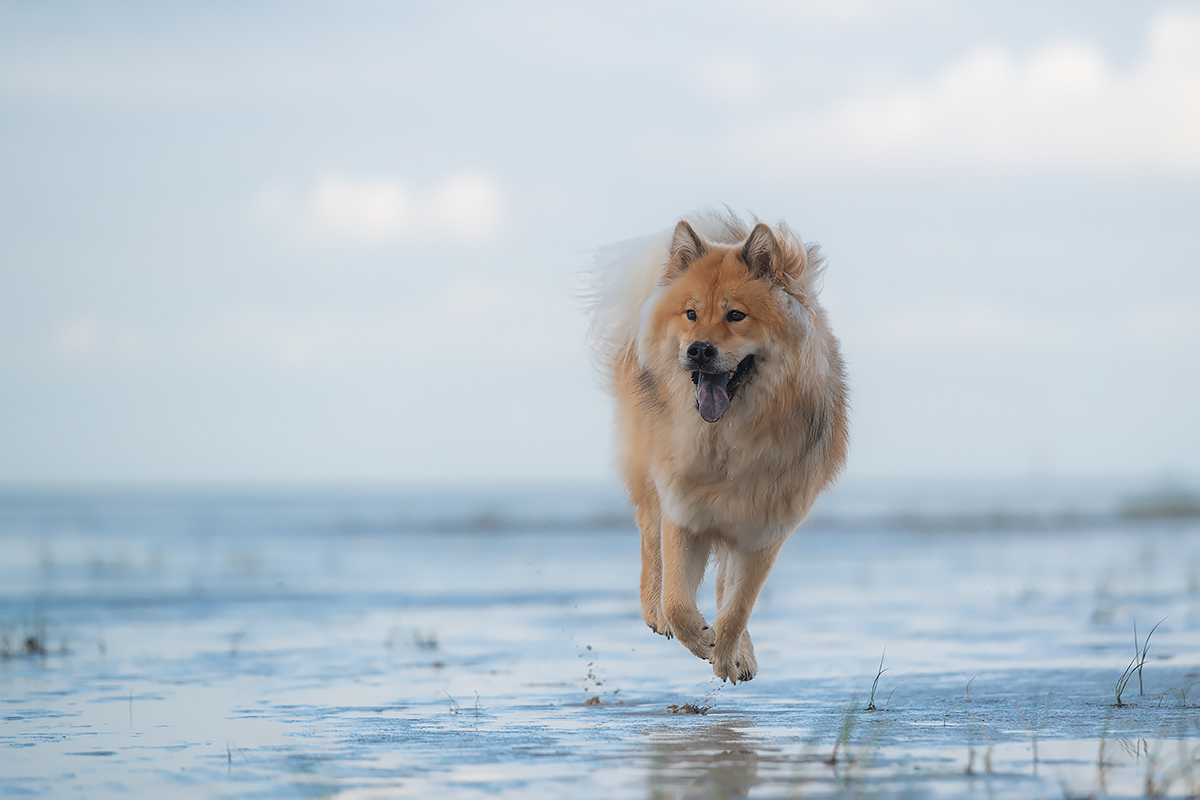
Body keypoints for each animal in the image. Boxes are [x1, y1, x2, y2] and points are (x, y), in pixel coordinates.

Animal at [585, 212, 849, 681]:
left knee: (727, 586)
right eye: (691, 314)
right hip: (646, 473)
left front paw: (727, 653)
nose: (699, 350)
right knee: (650, 540)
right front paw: (699, 638)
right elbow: (678, 602)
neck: (726, 440)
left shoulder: (763, 531)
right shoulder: (683, 513)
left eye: (736, 315)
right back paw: (654, 610)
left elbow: (738, 606)